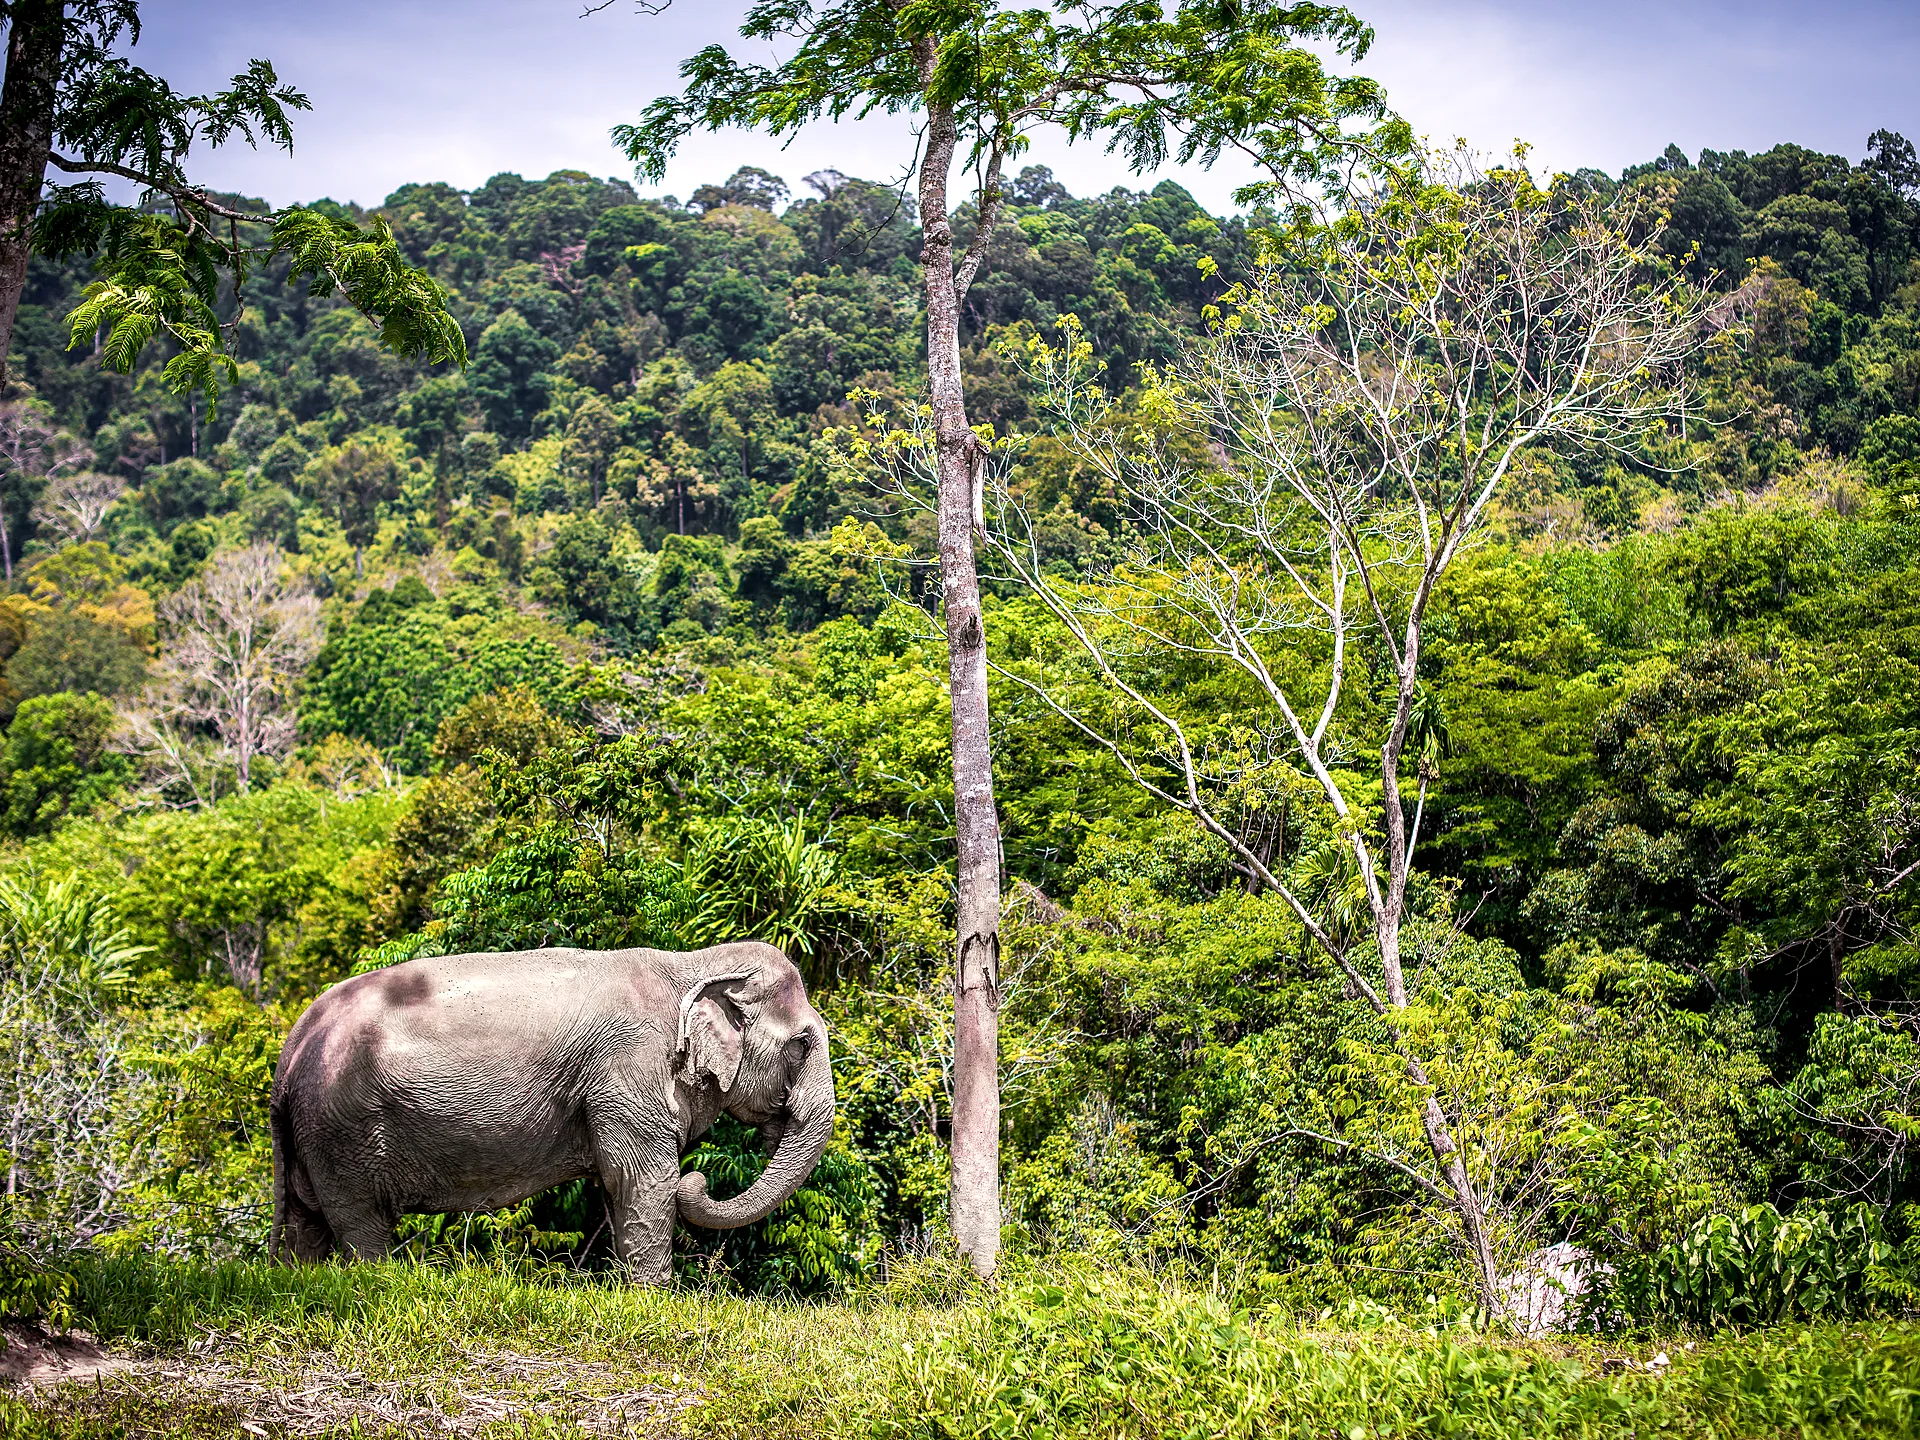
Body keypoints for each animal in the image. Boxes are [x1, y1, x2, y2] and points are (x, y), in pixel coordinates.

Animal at [268, 940, 833, 1282]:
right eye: (802, 1044)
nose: (702, 1181)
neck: (693, 964)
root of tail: (292, 1047)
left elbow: (618, 1185)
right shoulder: (629, 1070)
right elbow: (643, 1180)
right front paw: (656, 1299)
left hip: (315, 1135)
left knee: (305, 1220)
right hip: (345, 1131)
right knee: (360, 1224)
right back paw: (381, 1282)